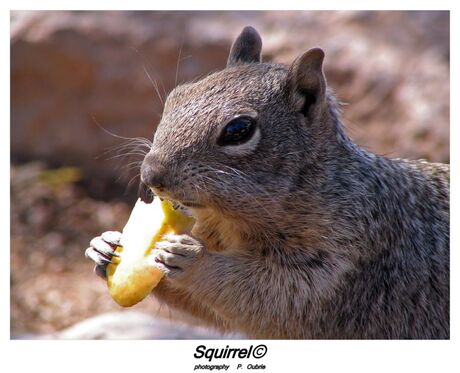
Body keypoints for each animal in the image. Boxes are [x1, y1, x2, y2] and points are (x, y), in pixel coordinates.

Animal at [86, 26, 450, 338]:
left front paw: (194, 259)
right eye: (176, 96)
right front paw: (104, 246)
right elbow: (213, 309)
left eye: (239, 130)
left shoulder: (341, 259)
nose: (151, 174)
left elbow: (275, 296)